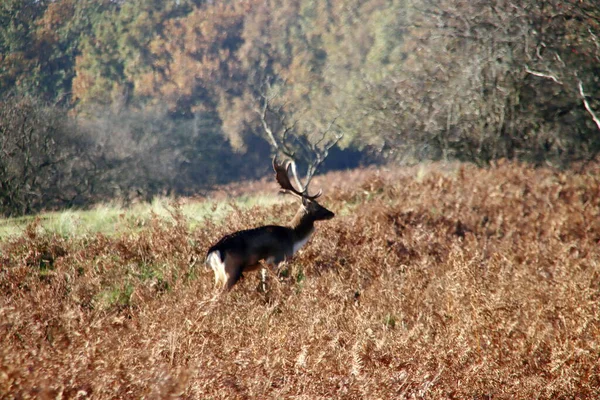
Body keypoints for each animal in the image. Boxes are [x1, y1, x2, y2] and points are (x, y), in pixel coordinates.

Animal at [206, 156, 336, 290]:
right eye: (316, 206)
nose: (331, 213)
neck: (292, 238)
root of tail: (213, 251)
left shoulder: (265, 266)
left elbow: (265, 284)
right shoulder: (277, 260)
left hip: (218, 274)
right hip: (231, 270)